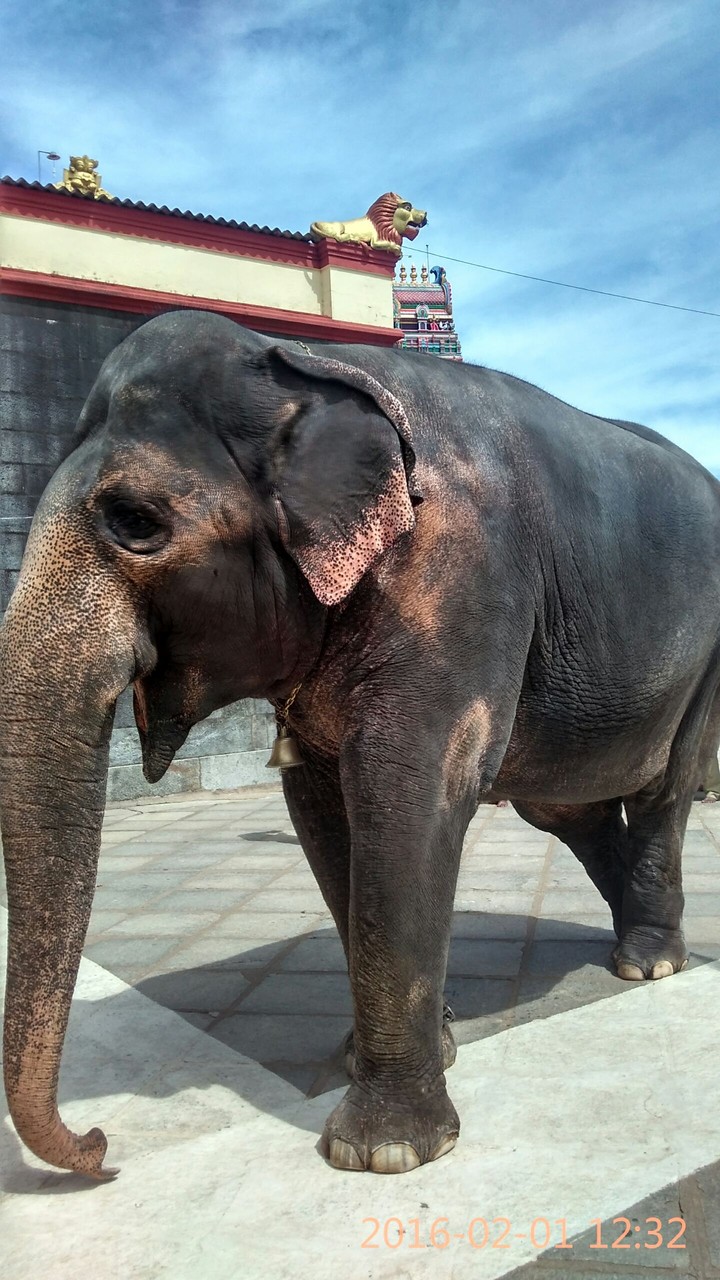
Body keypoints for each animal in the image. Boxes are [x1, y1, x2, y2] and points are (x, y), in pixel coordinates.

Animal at [1, 309, 720, 1182]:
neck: (307, 365)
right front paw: (418, 1052)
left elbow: (404, 789)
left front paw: (382, 1152)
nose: (102, 1146)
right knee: (564, 808)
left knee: (661, 789)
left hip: (704, 665)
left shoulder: (461, 578)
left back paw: (648, 963)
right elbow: (319, 811)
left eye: (135, 522)